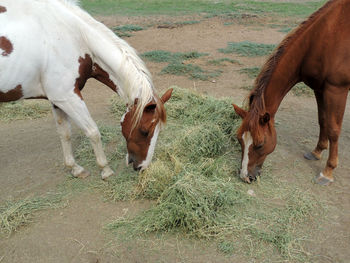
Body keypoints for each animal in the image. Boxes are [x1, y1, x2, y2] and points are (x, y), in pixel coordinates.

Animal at [0, 0, 172, 179]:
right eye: (145, 131)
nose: (142, 167)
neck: (73, 37)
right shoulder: (67, 96)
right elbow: (92, 131)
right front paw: (105, 170)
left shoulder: (57, 99)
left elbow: (64, 133)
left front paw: (75, 168)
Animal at [232, 0, 350, 187]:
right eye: (239, 139)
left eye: (260, 144)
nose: (245, 176)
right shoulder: (319, 88)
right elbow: (322, 120)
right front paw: (317, 151)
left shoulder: (336, 90)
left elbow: (333, 129)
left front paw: (328, 171)